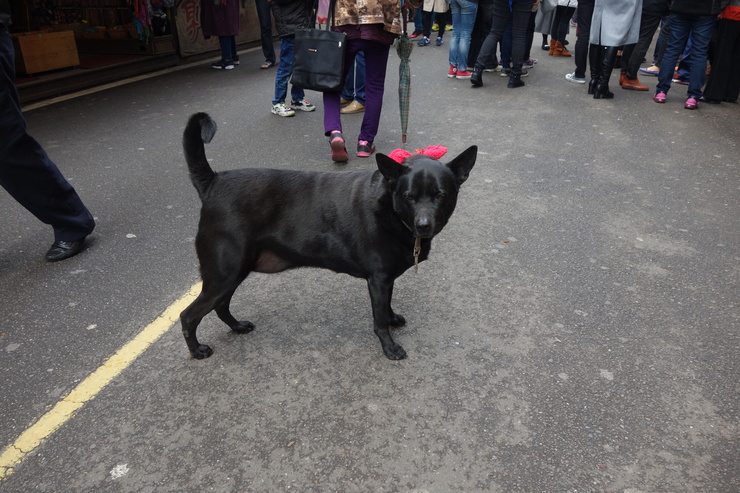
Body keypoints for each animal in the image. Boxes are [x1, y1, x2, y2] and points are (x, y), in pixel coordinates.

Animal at [182, 113, 476, 360]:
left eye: (440, 195)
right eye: (409, 197)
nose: (423, 225)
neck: (390, 210)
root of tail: (213, 181)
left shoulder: (386, 278)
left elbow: (388, 306)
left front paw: (393, 319)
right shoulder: (378, 280)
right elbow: (379, 319)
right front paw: (389, 347)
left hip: (233, 273)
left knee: (220, 306)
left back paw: (237, 326)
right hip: (224, 273)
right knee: (189, 315)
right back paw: (197, 350)